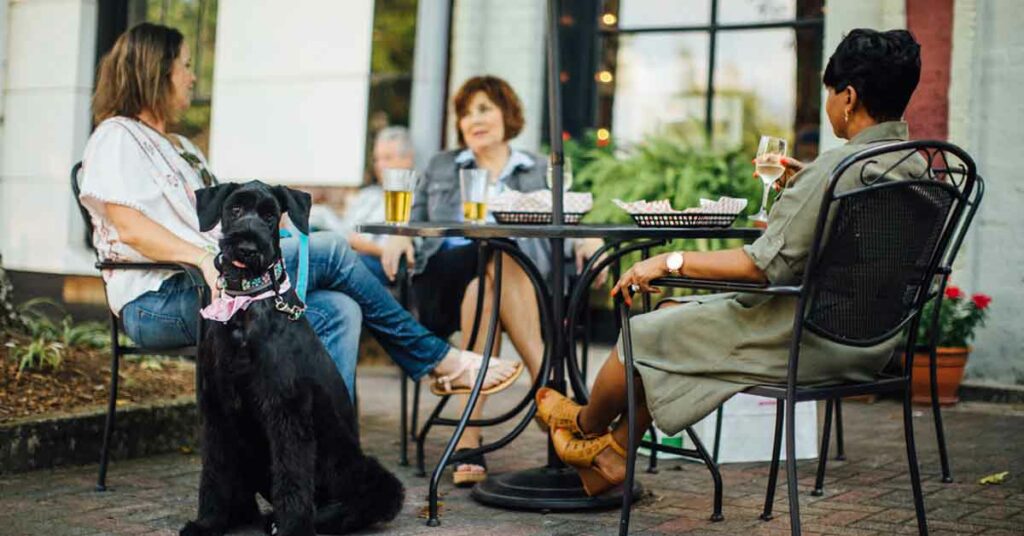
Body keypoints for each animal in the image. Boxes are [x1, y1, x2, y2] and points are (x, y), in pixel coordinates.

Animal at [180, 181, 403, 536]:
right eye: (235, 209)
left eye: (271, 215)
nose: (247, 247)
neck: (244, 311)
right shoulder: (216, 408)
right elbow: (214, 470)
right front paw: (208, 523)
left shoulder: (286, 409)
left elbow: (293, 473)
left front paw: (294, 527)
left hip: (358, 467)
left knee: (370, 500)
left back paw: (316, 518)